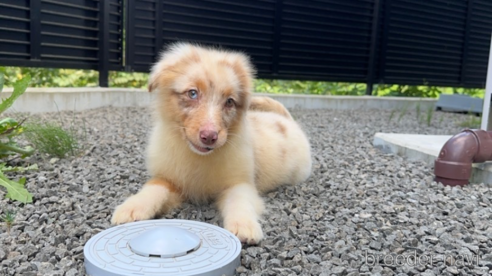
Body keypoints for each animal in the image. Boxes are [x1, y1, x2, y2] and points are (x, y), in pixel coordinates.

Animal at [111, 42, 312, 245]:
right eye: (192, 93)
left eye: (229, 102)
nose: (209, 137)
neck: (198, 157)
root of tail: (286, 119)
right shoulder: (170, 180)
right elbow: (153, 188)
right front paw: (132, 207)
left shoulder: (239, 183)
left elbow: (239, 201)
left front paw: (244, 225)